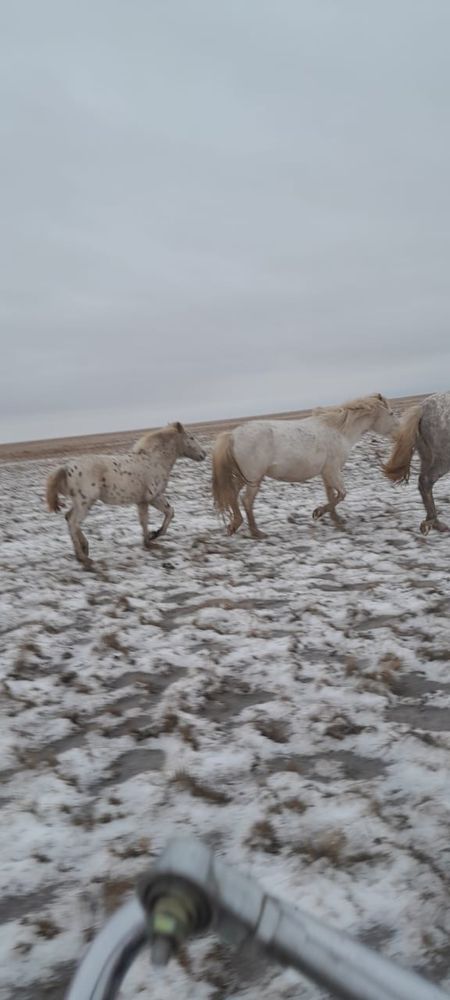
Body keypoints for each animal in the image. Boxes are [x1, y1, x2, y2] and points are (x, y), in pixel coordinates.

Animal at [46, 420, 206, 568]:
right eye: (191, 437)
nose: (204, 454)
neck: (154, 460)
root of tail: (67, 468)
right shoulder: (153, 497)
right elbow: (162, 515)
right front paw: (153, 537)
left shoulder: (143, 500)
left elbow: (155, 517)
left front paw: (150, 538)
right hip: (85, 502)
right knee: (73, 522)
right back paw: (83, 558)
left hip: (81, 502)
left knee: (68, 517)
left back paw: (84, 548)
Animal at [212, 392, 398, 540]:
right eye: (391, 413)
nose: (397, 434)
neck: (339, 430)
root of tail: (233, 435)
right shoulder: (333, 470)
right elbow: (341, 494)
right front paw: (318, 513)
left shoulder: (326, 473)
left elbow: (331, 495)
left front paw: (336, 520)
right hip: (254, 477)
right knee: (247, 500)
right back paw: (256, 532)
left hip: (245, 477)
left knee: (233, 495)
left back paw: (234, 525)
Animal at [384, 390, 450, 536]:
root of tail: (423, 409)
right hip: (444, 459)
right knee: (426, 481)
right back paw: (435, 523)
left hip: (427, 457)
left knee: (423, 483)